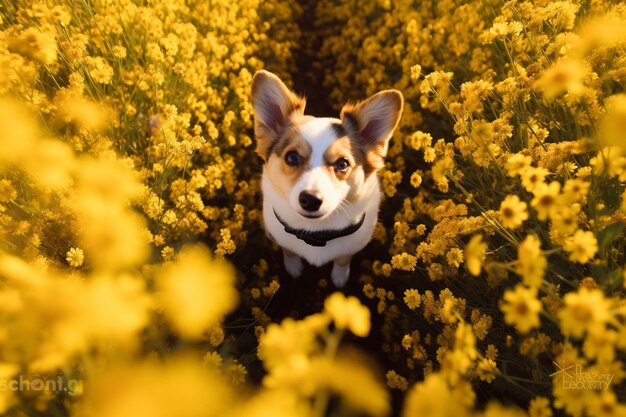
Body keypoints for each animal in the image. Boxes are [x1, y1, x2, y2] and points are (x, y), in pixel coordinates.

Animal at [250, 70, 402, 286]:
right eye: (291, 157)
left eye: (342, 164)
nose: (310, 200)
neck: (316, 233)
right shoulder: (281, 238)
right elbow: (289, 252)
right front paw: (293, 268)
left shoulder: (351, 247)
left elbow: (342, 260)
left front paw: (339, 278)